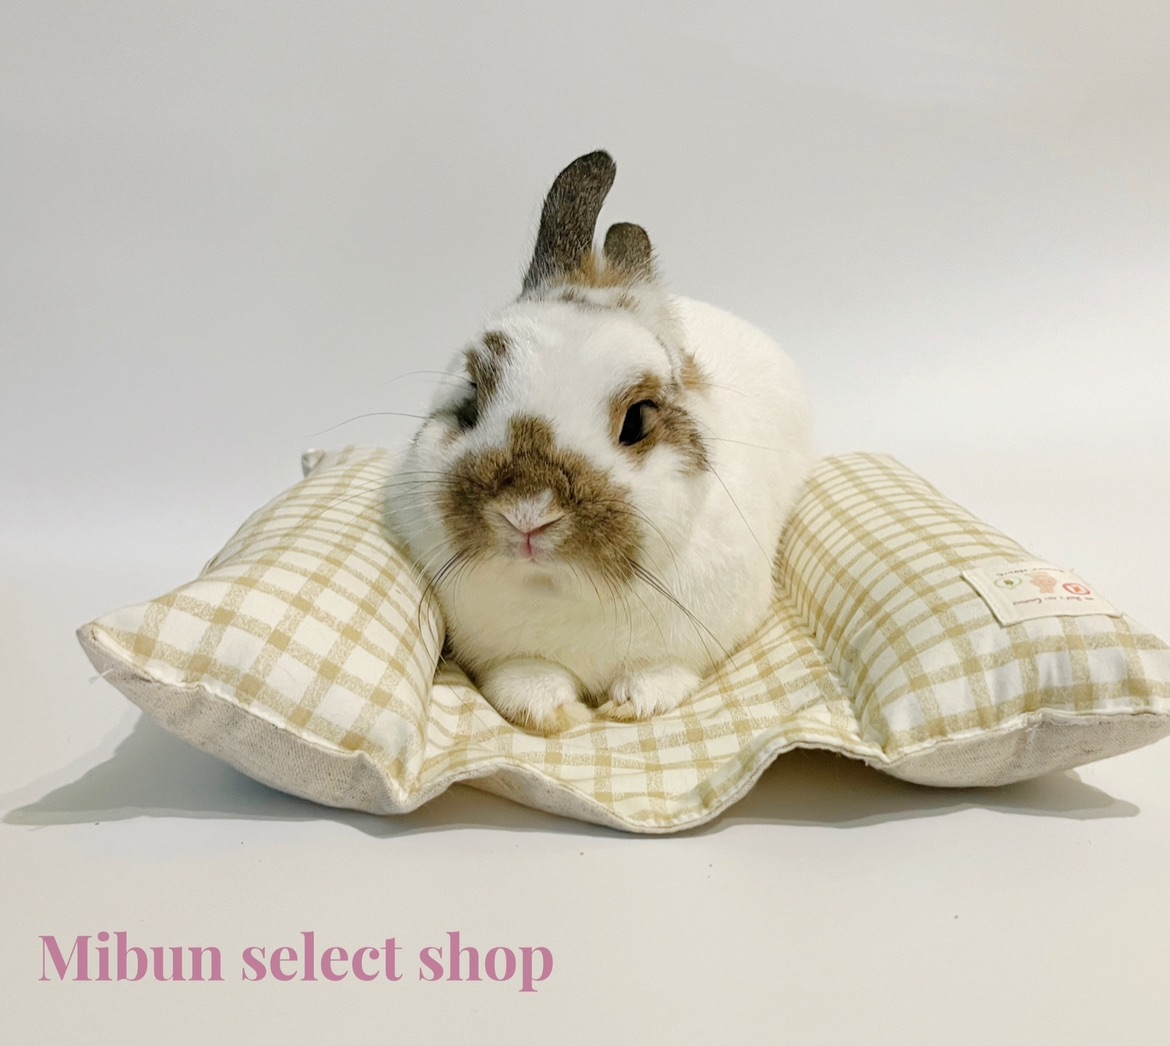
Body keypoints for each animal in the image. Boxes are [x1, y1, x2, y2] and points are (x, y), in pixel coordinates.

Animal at [385, 150, 816, 734]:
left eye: (637, 420)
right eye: (471, 396)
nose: (527, 514)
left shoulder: (683, 646)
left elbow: (662, 671)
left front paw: (633, 705)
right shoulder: (507, 654)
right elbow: (525, 674)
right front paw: (547, 711)